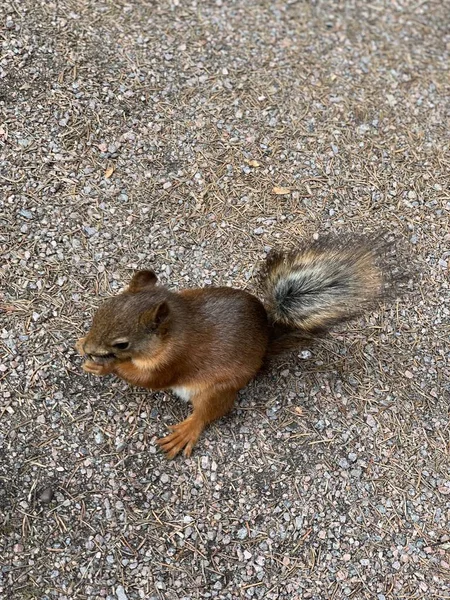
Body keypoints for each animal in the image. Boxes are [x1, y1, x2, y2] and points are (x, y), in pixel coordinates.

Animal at [75, 232, 402, 458]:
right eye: (102, 309)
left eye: (122, 344)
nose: (90, 347)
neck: (176, 328)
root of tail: (265, 345)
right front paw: (82, 344)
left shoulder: (174, 360)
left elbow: (148, 379)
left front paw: (106, 367)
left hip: (218, 389)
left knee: (208, 412)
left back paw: (187, 430)